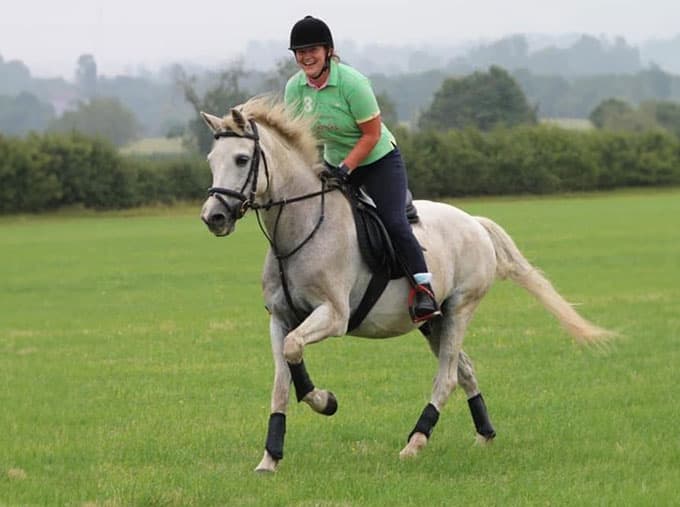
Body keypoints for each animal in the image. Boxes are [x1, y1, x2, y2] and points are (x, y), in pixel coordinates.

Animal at [199, 97, 612, 473]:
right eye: (211, 161)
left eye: (241, 159)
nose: (213, 217)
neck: (301, 226)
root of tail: (475, 223)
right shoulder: (280, 317)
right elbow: (282, 378)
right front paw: (270, 457)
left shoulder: (334, 316)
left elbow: (293, 350)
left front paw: (324, 400)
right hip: (433, 321)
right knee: (465, 369)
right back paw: (485, 434)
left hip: (460, 308)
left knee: (447, 377)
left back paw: (415, 442)